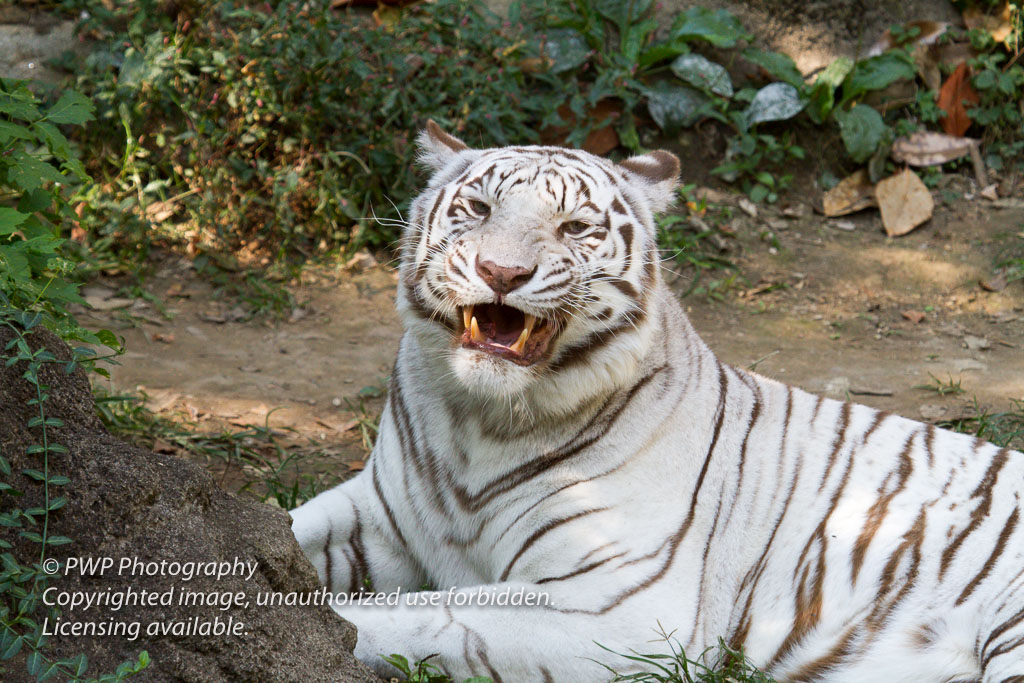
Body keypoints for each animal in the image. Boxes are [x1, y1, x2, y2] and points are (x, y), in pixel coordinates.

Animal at [290, 124, 1024, 683]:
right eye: (478, 210)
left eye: (574, 227)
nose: (503, 272)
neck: (480, 420)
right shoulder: (379, 513)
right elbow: (291, 531)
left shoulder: (621, 608)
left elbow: (422, 613)